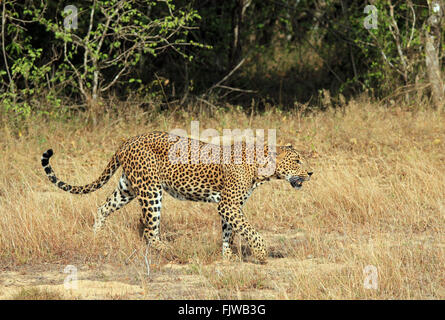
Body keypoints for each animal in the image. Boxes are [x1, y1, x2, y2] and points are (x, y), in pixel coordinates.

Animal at [41, 130, 312, 262]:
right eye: (297, 160)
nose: (311, 172)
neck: (262, 170)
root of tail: (127, 141)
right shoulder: (229, 205)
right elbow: (250, 231)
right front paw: (261, 254)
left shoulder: (229, 207)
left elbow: (229, 232)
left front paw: (227, 257)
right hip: (151, 191)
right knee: (150, 231)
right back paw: (171, 251)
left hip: (128, 187)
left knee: (103, 207)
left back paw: (97, 236)